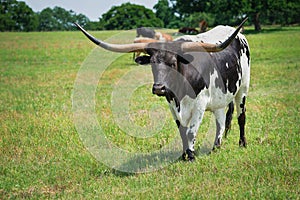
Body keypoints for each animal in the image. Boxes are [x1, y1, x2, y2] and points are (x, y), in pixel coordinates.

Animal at [74, 18, 251, 162]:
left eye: (173, 63)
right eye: (152, 64)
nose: (159, 88)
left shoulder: (199, 105)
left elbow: (191, 132)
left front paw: (191, 156)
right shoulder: (172, 105)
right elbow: (182, 131)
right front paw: (184, 155)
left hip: (243, 89)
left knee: (241, 117)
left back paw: (242, 143)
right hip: (219, 99)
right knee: (221, 120)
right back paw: (216, 147)